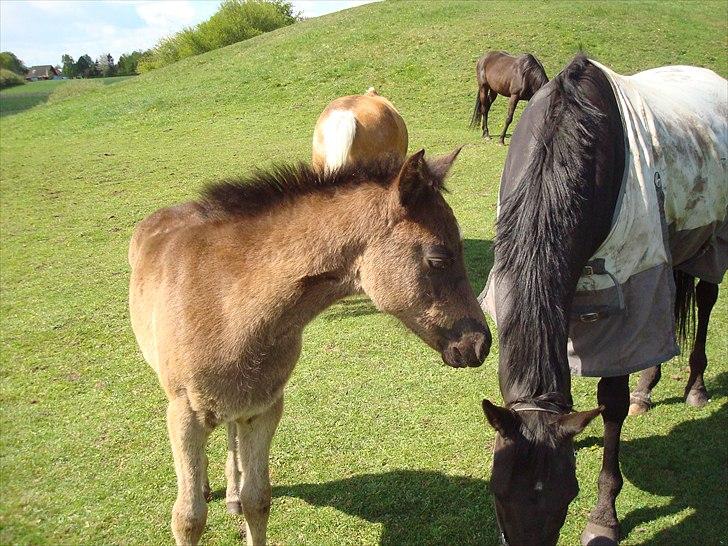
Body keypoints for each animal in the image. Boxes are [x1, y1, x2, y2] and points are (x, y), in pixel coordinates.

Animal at [128, 149, 492, 544]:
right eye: (437, 258)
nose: (481, 343)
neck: (227, 307)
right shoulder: (184, 414)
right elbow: (188, 517)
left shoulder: (265, 407)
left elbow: (258, 499)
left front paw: (242, 497)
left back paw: (231, 493)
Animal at [480, 56, 724, 544]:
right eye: (498, 494)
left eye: (567, 496)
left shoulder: (622, 294)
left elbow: (611, 402)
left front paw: (605, 514)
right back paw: (647, 389)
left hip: (712, 237)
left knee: (706, 298)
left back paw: (696, 388)